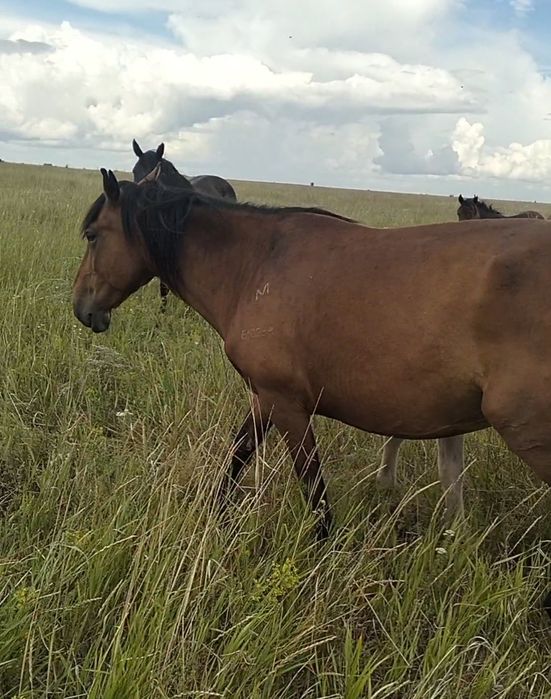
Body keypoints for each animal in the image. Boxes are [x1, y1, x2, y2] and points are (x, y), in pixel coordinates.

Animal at [74, 170, 551, 548]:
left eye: (93, 235)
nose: (82, 309)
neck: (256, 266)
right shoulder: (264, 398)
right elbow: (237, 457)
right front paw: (216, 515)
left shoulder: (287, 404)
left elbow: (313, 486)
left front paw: (323, 550)